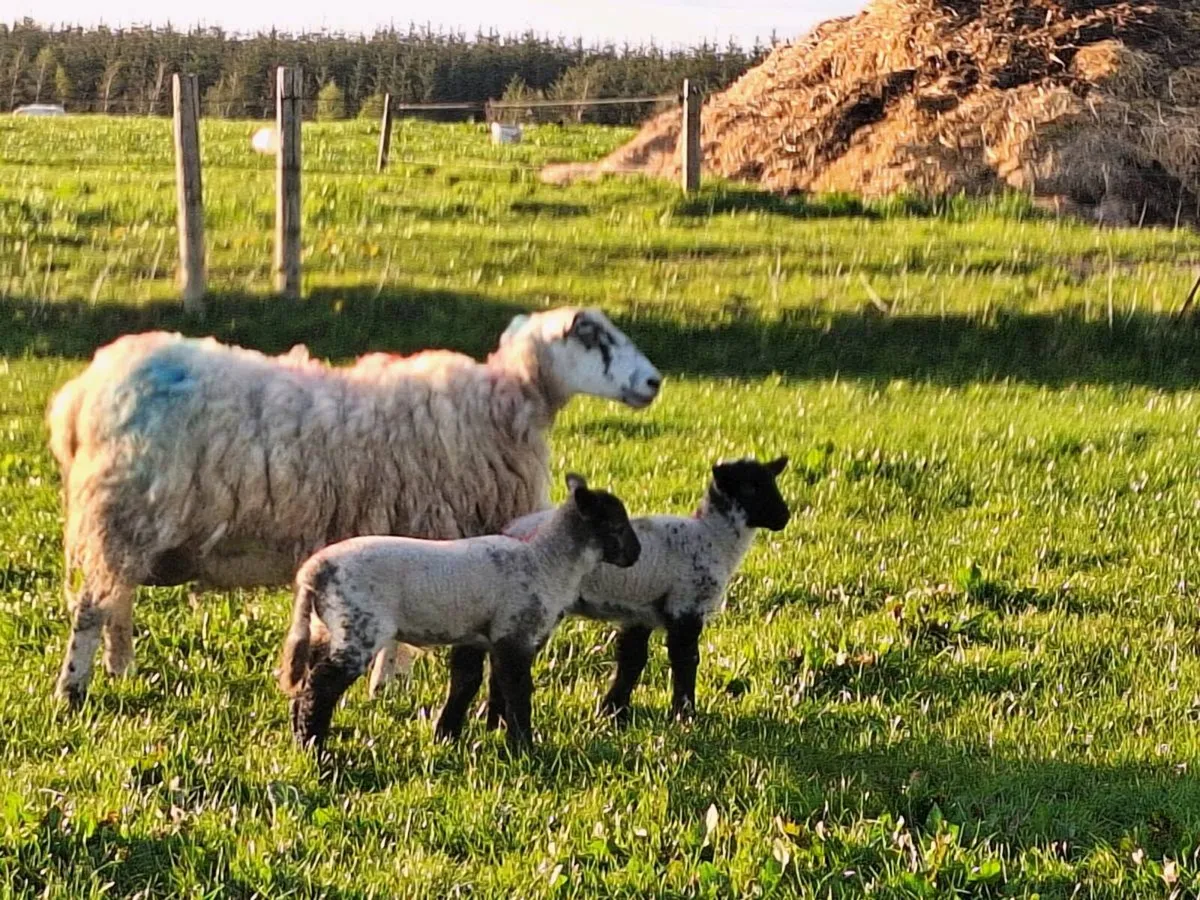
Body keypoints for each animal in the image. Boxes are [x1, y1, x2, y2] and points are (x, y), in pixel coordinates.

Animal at [47, 307, 662, 706]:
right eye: (594, 337)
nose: (655, 382)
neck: (509, 397)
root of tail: (82, 393)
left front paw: (386, 686)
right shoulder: (426, 529)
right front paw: (387, 686)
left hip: (127, 522)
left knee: (117, 598)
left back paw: (119, 669)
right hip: (123, 510)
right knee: (92, 606)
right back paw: (73, 688)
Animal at [279, 474, 641, 752]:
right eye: (617, 525)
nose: (636, 554)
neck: (546, 561)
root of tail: (314, 571)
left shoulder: (480, 636)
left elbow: (471, 682)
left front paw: (449, 735)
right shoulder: (515, 634)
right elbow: (517, 690)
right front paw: (524, 745)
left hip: (325, 628)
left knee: (307, 681)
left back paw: (300, 739)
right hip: (360, 627)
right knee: (321, 686)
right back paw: (315, 748)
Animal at [436, 456, 789, 735]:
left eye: (772, 481)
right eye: (750, 488)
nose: (784, 517)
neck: (713, 538)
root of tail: (510, 529)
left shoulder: (641, 612)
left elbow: (632, 660)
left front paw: (613, 713)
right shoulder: (685, 605)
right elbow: (686, 660)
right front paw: (684, 716)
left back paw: (489, 723)